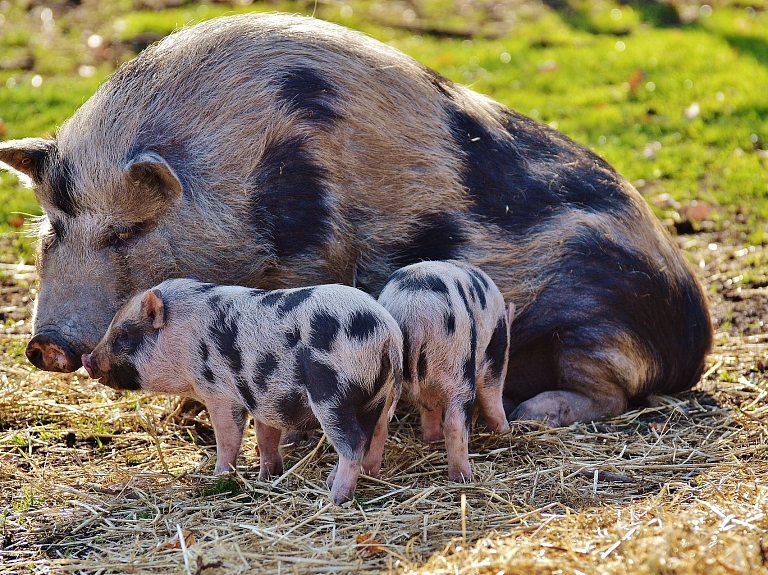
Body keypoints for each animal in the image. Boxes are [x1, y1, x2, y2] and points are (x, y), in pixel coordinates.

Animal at [0, 12, 712, 428]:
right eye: (51, 230)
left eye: (127, 232)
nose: (45, 344)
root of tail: (697, 341)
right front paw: (189, 412)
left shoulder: (311, 261)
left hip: (600, 329)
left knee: (613, 394)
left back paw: (537, 411)